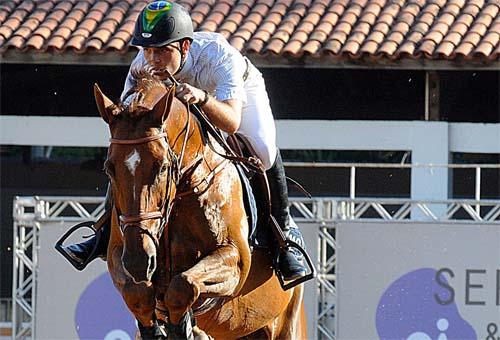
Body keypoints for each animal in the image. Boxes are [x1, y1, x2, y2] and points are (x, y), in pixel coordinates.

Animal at [92, 70, 306, 338]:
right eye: (109, 168)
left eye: (163, 166)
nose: (138, 260)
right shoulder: (118, 253)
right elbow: (137, 292)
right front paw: (159, 327)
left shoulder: (235, 259)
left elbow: (183, 285)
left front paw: (182, 326)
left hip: (288, 323)